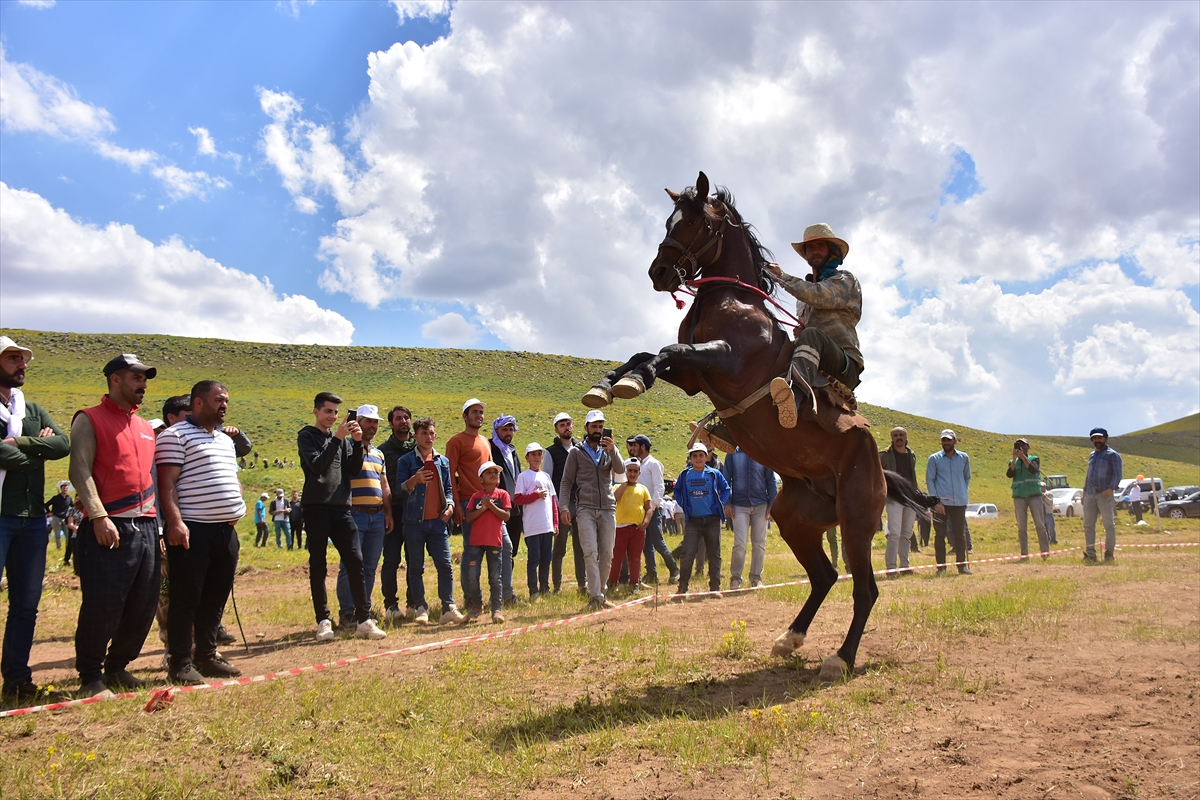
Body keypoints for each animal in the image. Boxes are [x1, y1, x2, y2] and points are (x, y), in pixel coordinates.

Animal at [585, 172, 921, 681]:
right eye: (668, 221)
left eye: (695, 222)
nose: (659, 273)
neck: (731, 298)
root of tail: (879, 464)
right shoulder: (693, 378)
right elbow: (650, 353)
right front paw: (609, 384)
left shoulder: (724, 359)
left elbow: (667, 350)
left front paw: (627, 382)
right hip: (795, 519)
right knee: (824, 576)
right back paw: (790, 638)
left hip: (858, 520)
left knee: (865, 589)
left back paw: (840, 658)